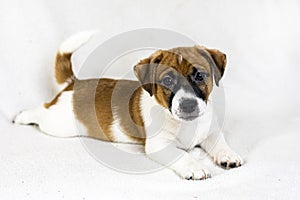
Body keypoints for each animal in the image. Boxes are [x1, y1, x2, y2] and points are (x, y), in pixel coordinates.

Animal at [14, 32, 244, 180]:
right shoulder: (160, 145)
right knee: (42, 110)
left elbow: (220, 144)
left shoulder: (210, 133)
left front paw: (228, 155)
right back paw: (22, 116)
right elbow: (182, 155)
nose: (188, 105)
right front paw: (195, 167)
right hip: (57, 125)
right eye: (167, 81)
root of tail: (74, 83)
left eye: (199, 76)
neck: (182, 123)